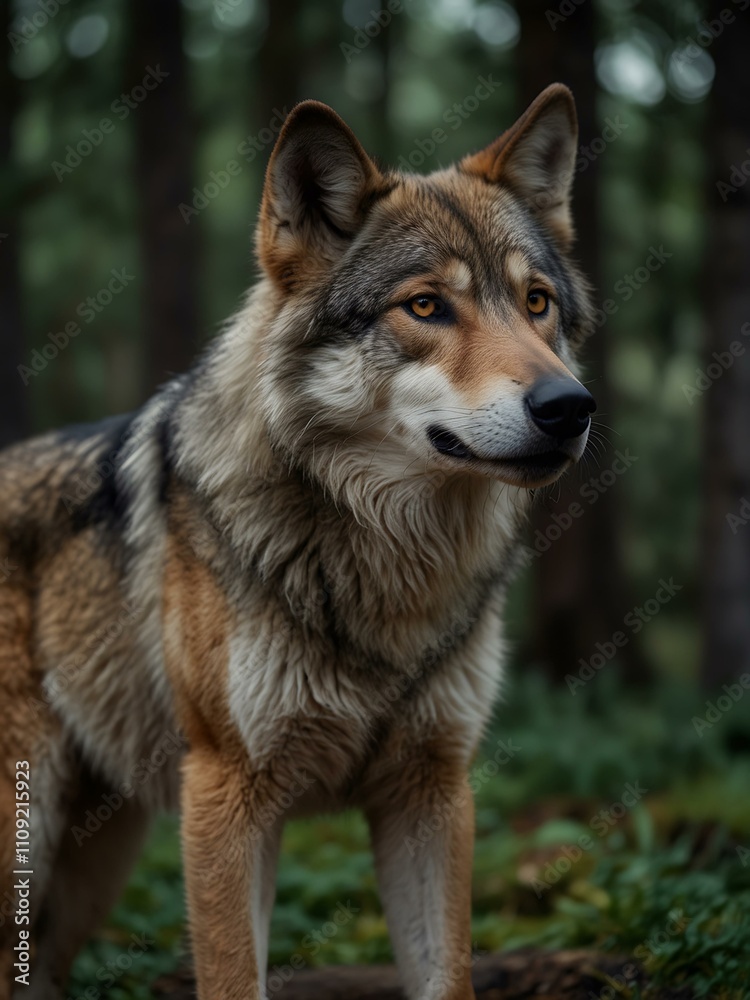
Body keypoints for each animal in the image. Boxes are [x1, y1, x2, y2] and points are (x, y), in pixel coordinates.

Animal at [0, 83, 595, 999]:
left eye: (538, 303)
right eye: (426, 305)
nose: (570, 407)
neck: (384, 565)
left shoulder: (433, 791)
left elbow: (447, 976)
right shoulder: (227, 792)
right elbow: (233, 977)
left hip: (92, 866)